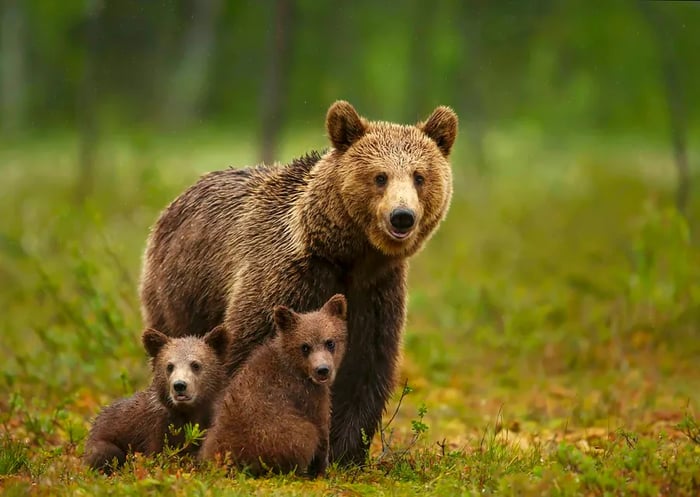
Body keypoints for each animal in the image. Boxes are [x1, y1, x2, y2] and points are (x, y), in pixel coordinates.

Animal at [141, 101, 460, 464]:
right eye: (380, 177)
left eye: (420, 176)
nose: (402, 216)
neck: (348, 255)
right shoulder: (288, 278)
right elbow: (248, 352)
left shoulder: (375, 293)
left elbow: (364, 368)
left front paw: (345, 451)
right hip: (181, 289)